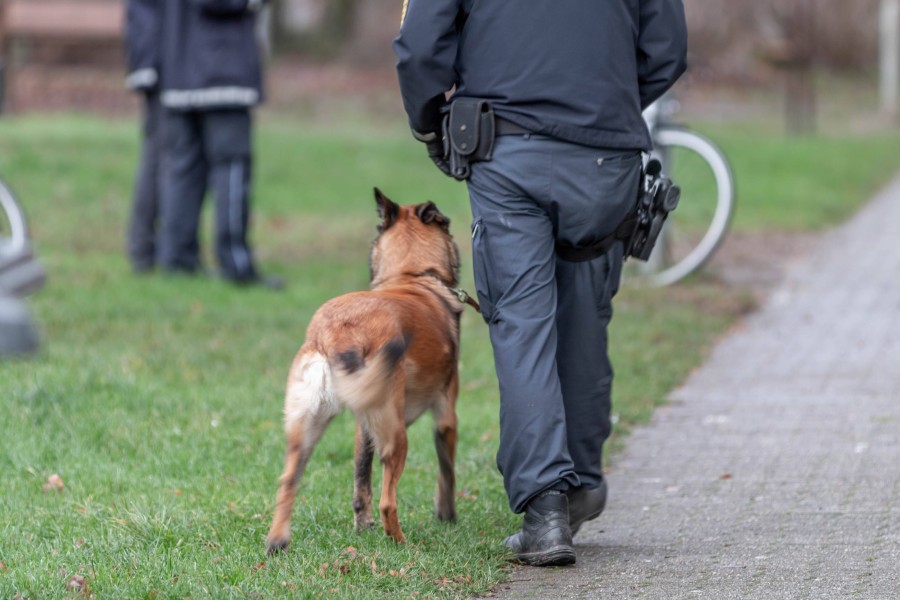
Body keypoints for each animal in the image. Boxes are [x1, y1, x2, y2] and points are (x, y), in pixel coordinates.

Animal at [266, 189, 464, 552]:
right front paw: (447, 514)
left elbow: (361, 478)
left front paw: (362, 527)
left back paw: (277, 541)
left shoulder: (364, 425)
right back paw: (401, 542)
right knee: (389, 500)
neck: (413, 277)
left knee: (288, 480)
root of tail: (333, 331)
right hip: (396, 435)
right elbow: (447, 472)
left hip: (307, 427)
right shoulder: (446, 414)